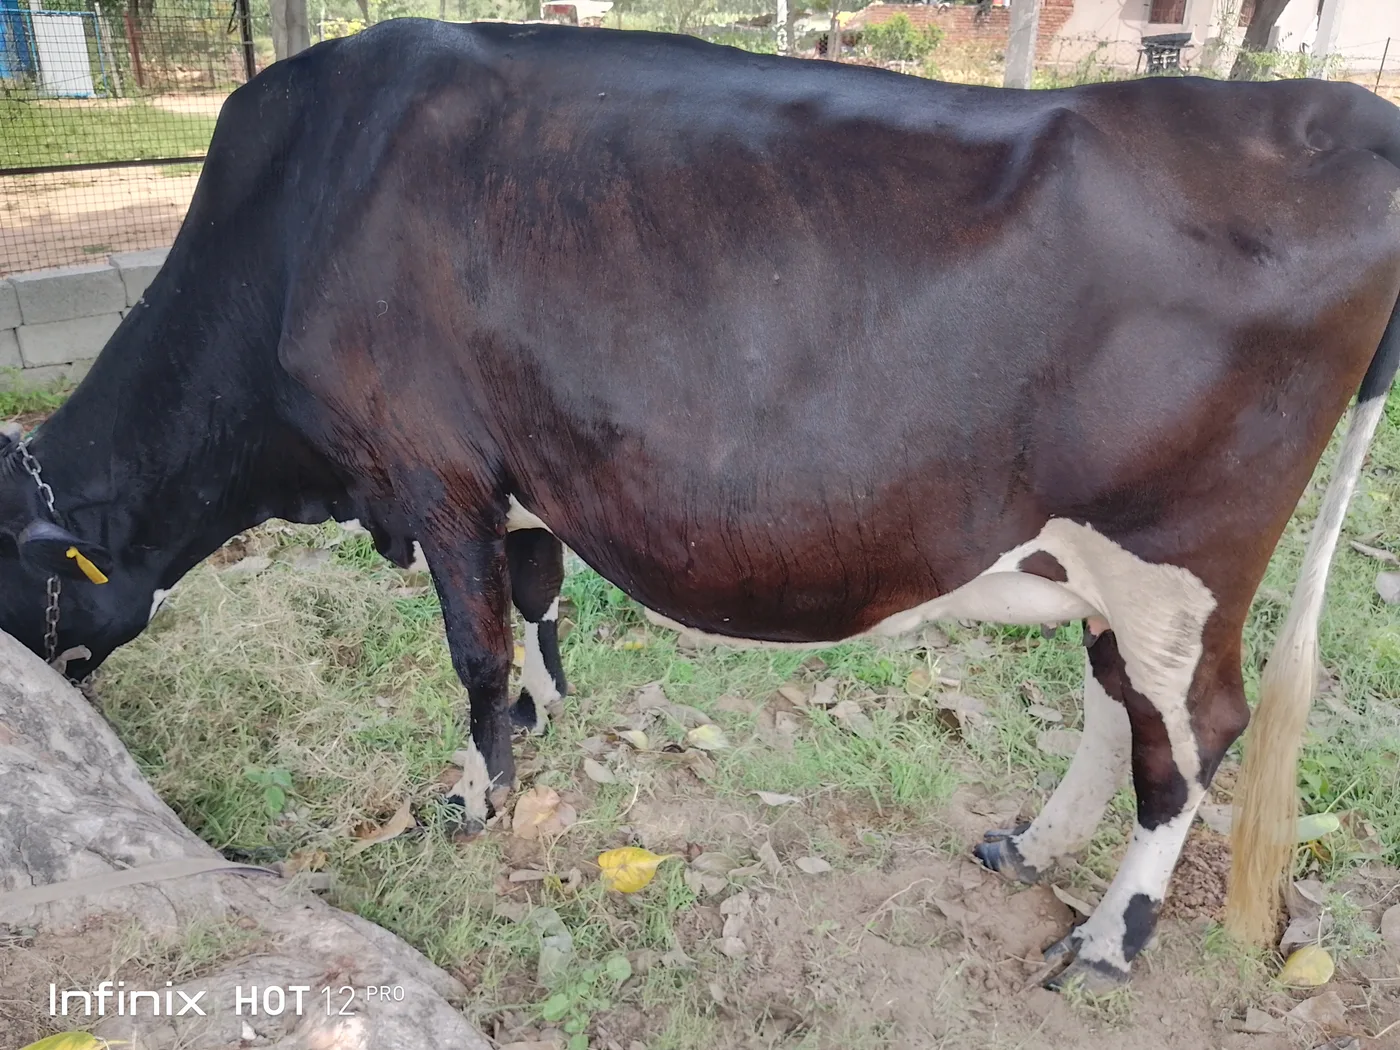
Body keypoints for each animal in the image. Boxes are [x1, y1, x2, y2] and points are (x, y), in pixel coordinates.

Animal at [1, 18, 1397, 991]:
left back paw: (1109, 939)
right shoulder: (518, 469)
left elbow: (470, 647)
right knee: (1121, 709)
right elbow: (534, 594)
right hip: (1103, 565)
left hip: (1179, 552)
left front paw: (476, 797)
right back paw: (1032, 847)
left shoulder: (432, 469)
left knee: (1190, 734)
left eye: (14, 592)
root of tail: (1336, 109)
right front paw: (544, 714)